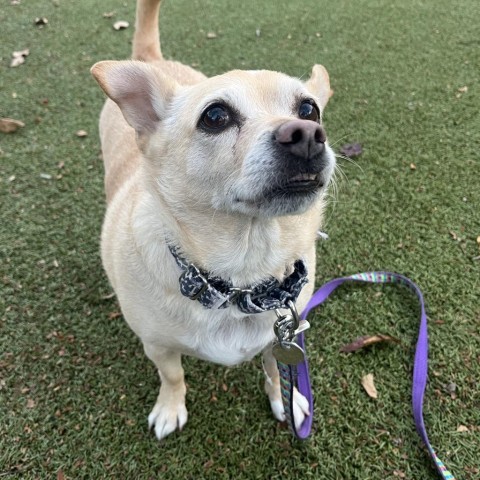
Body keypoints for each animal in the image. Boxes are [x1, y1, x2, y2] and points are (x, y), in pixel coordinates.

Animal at [92, 0, 336, 440]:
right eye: (216, 116)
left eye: (310, 109)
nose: (307, 134)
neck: (242, 277)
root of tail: (151, 60)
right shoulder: (157, 346)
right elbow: (172, 376)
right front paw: (170, 407)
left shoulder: (279, 336)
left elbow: (275, 365)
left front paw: (285, 399)